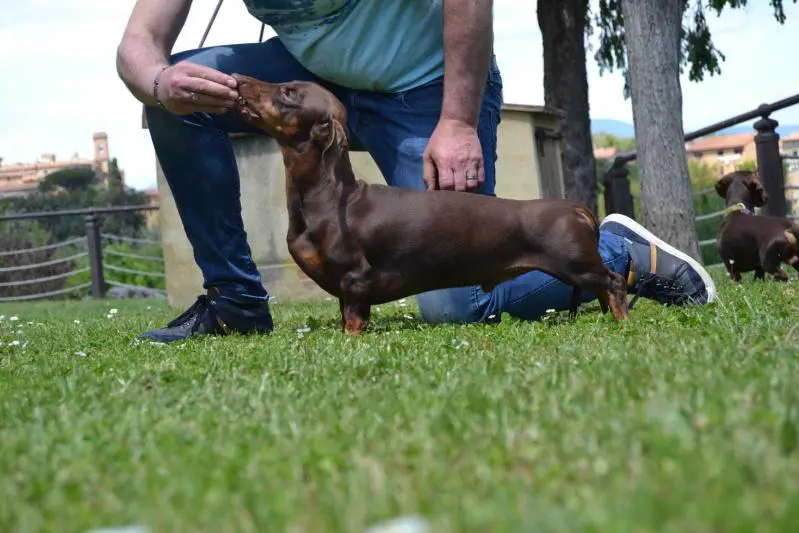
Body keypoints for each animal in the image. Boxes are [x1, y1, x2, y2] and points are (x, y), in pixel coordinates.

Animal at [233, 75, 632, 332]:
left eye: (289, 92)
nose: (237, 80)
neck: (329, 195)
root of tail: (575, 207)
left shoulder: (355, 279)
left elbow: (353, 321)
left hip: (575, 264)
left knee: (613, 281)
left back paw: (622, 320)